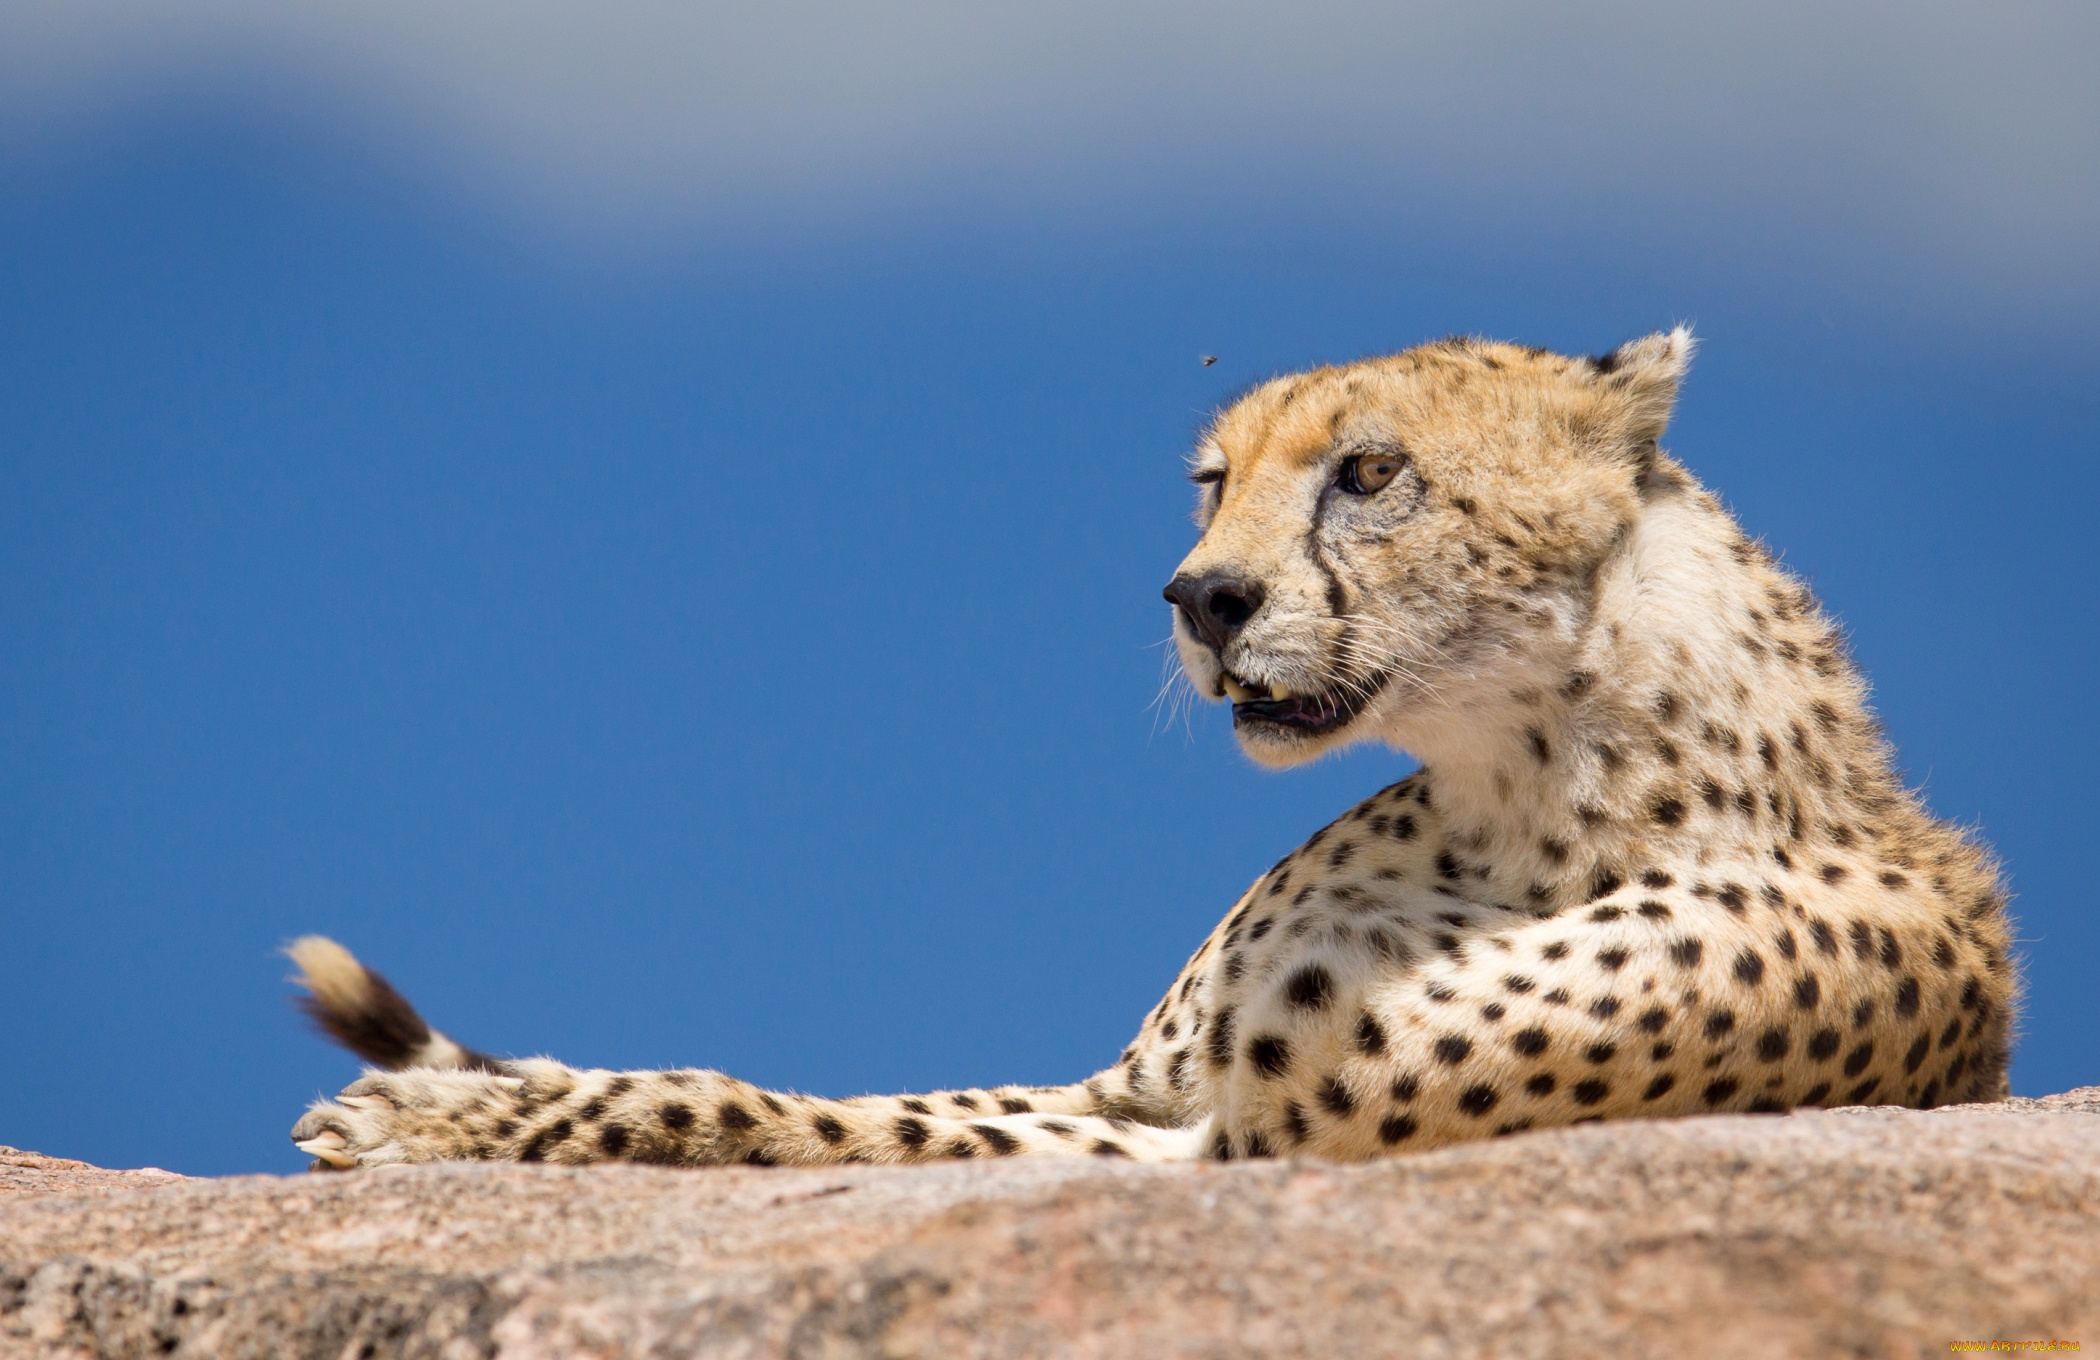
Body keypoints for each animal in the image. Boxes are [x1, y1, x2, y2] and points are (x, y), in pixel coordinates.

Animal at [291, 329, 2015, 1166]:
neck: (1516, 792)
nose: (1202, 598)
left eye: (1368, 473)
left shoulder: (1248, 1146)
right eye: (1212, 481)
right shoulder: (1134, 1095)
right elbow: (809, 1099)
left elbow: (844, 1127)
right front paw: (456, 1108)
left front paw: (442, 1122)